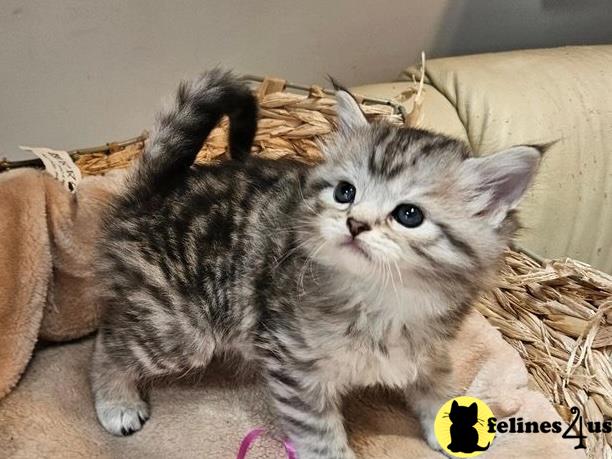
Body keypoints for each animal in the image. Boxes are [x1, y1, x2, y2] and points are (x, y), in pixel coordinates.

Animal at [89, 69, 540, 459]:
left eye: (409, 215)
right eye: (345, 192)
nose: (355, 223)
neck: (388, 300)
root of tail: (152, 194)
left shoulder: (429, 351)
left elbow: (440, 388)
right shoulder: (293, 363)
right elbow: (317, 432)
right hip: (181, 328)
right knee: (108, 341)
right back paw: (116, 400)